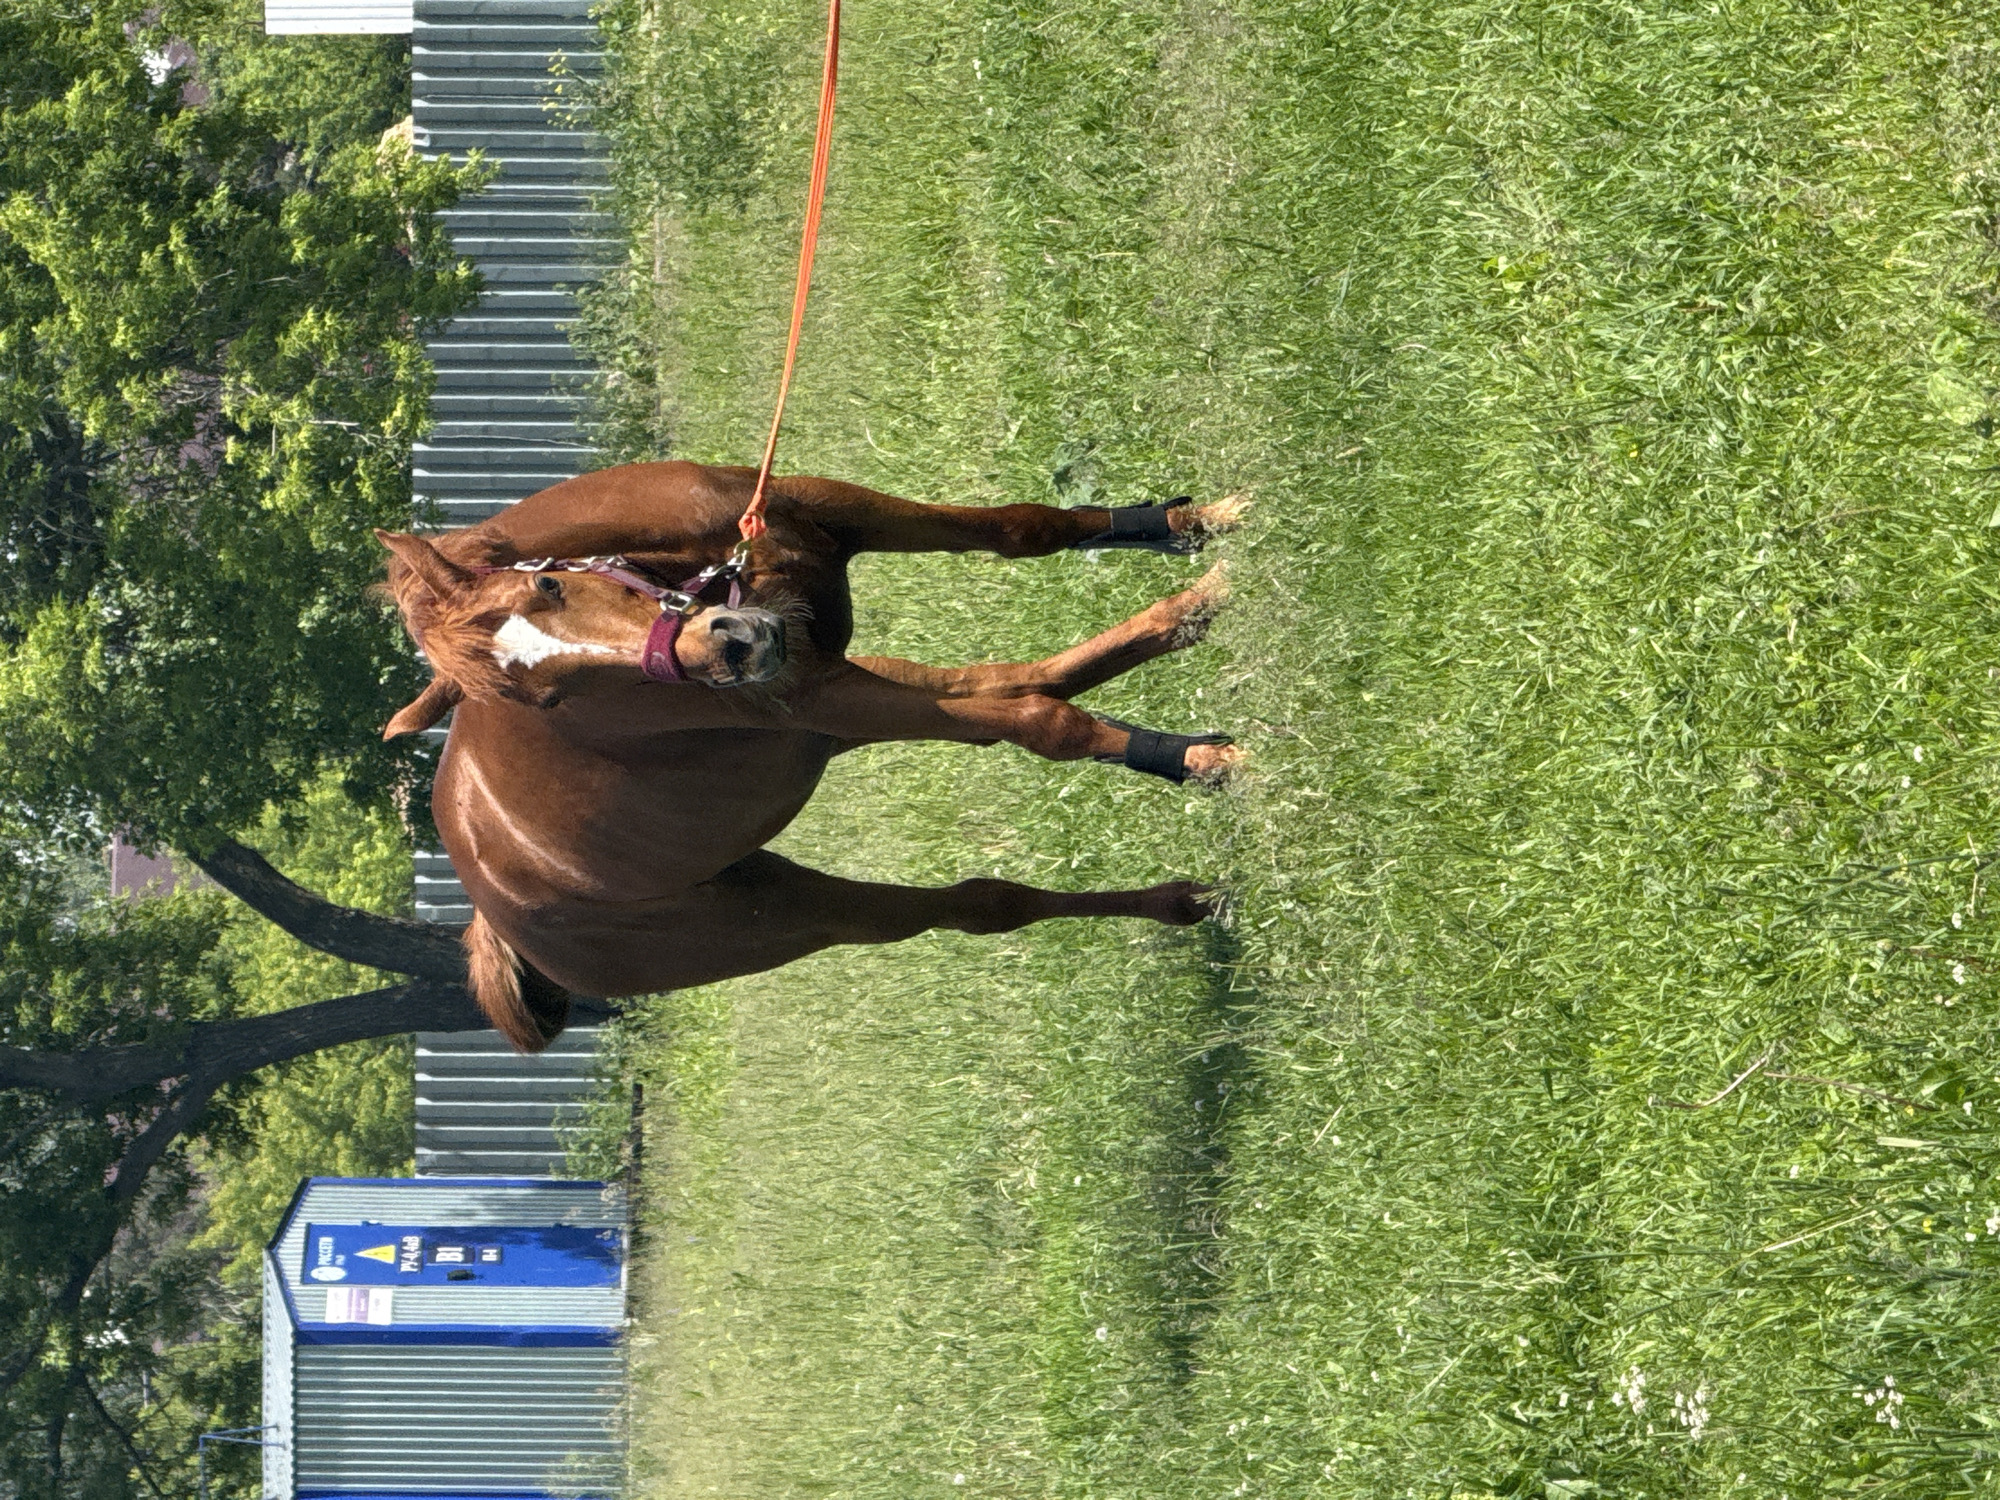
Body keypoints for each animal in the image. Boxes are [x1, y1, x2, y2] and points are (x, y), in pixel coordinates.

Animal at [376, 461, 1248, 1050]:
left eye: (550, 587)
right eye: (542, 700)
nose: (727, 648)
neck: (701, 565)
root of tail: (493, 914)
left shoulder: (827, 514)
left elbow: (1023, 528)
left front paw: (1203, 523)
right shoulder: (816, 695)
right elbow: (1039, 724)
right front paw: (1207, 761)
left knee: (1020, 678)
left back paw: (1196, 612)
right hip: (799, 913)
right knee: (978, 897)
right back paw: (1183, 875)